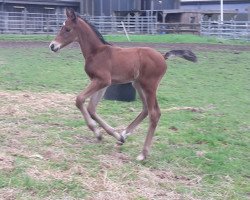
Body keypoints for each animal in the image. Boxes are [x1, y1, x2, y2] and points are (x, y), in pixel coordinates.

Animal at [49, 8, 197, 161]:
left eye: (67, 29)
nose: (52, 46)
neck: (96, 52)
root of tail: (163, 56)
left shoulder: (102, 81)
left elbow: (79, 100)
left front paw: (99, 132)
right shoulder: (100, 82)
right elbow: (91, 109)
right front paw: (109, 135)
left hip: (149, 86)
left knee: (154, 113)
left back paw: (143, 154)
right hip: (138, 85)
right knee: (146, 109)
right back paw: (124, 135)